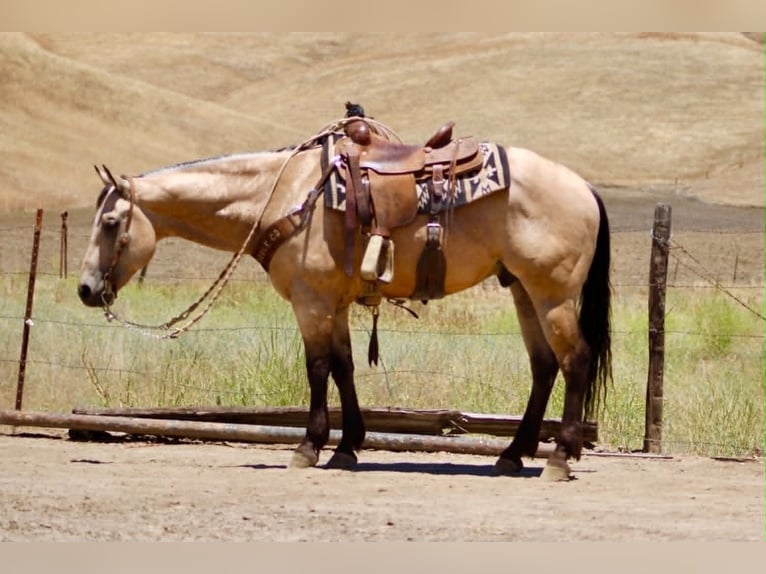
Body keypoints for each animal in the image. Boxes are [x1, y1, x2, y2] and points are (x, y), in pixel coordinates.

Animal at [77, 118, 612, 481]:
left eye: (110, 223)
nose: (85, 289)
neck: (282, 197)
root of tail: (584, 186)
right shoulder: (332, 303)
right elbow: (344, 367)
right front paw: (347, 446)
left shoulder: (310, 301)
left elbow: (316, 369)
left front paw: (308, 447)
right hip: (523, 290)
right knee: (544, 367)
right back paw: (512, 454)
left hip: (552, 294)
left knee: (575, 361)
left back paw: (559, 458)